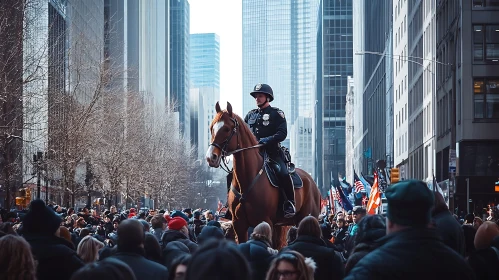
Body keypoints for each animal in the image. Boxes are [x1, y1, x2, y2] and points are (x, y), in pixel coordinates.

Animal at [206, 101, 320, 248]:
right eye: (211, 128)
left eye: (226, 129)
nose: (211, 157)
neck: (247, 179)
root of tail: (311, 180)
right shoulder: (239, 225)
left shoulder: (265, 221)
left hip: (306, 218)